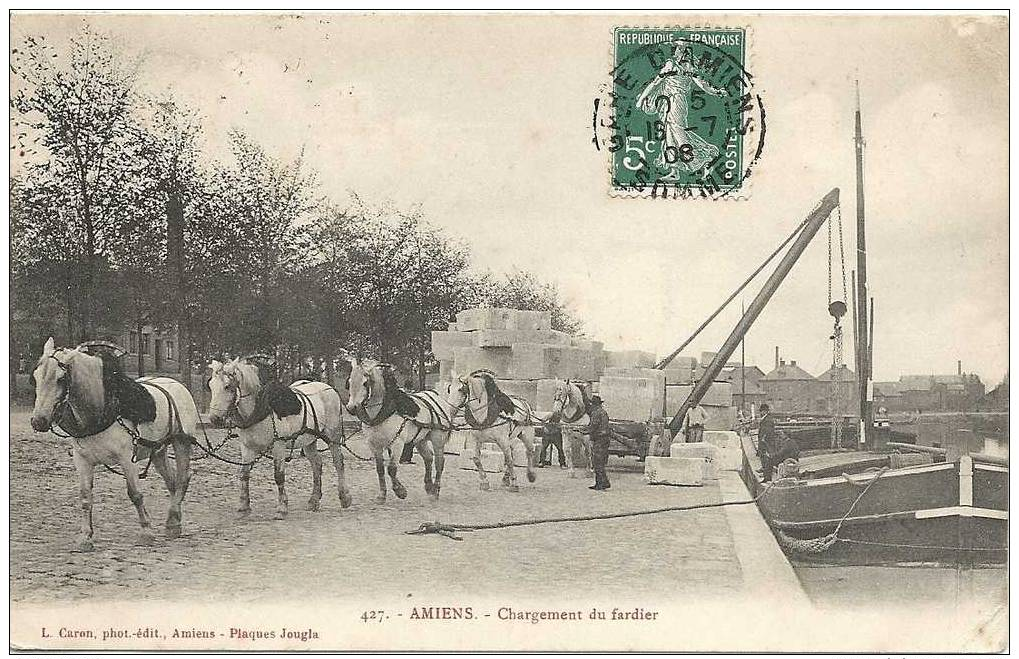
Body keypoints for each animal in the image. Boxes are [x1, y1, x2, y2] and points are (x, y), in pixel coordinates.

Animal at [29, 340, 200, 550]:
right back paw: (174, 521)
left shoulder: (126, 458)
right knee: (172, 481)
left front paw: (146, 532)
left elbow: (135, 494)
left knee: (183, 478)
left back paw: (173, 522)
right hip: (158, 450)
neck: (102, 407)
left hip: (181, 442)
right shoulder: (82, 460)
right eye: (35, 376)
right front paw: (86, 537)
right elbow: (85, 497)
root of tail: (177, 385)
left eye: (61, 379)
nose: (39, 421)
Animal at [204, 358, 352, 517]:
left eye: (227, 386)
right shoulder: (247, 447)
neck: (259, 411)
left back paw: (345, 497)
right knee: (316, 464)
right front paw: (244, 506)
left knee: (338, 462)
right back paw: (314, 500)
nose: (214, 418)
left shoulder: (278, 446)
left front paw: (282, 507)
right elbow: (244, 474)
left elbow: (279, 476)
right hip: (309, 440)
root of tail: (329, 388)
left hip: (333, 436)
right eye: (210, 386)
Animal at [346, 358, 458, 503]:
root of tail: (438, 398)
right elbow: (380, 469)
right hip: (420, 439)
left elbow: (392, 469)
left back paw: (435, 491)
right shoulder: (374, 445)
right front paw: (382, 495)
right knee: (428, 458)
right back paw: (429, 486)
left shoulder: (397, 443)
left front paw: (400, 491)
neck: (383, 411)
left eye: (365, 383)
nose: (351, 408)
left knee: (439, 462)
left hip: (438, 440)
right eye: (349, 382)